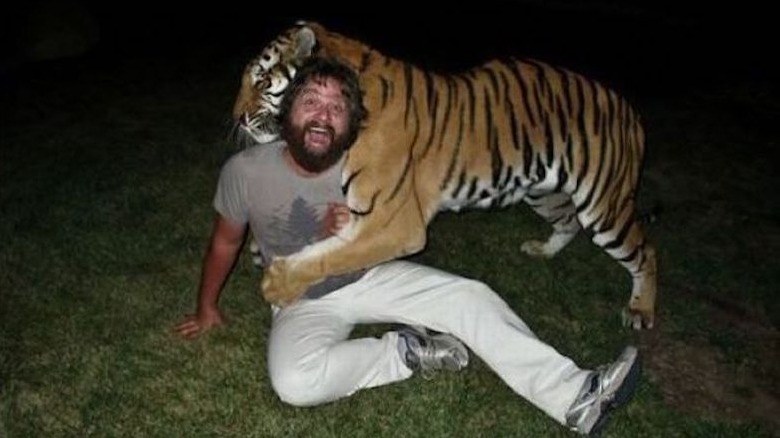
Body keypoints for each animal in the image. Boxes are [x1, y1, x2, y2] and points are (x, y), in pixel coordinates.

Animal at [232, 20, 660, 328]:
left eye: (262, 80)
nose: (236, 117)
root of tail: (629, 109)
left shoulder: (396, 223)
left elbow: (331, 255)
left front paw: (277, 282)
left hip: (604, 207)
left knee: (646, 251)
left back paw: (640, 311)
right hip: (544, 192)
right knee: (568, 222)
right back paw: (543, 250)